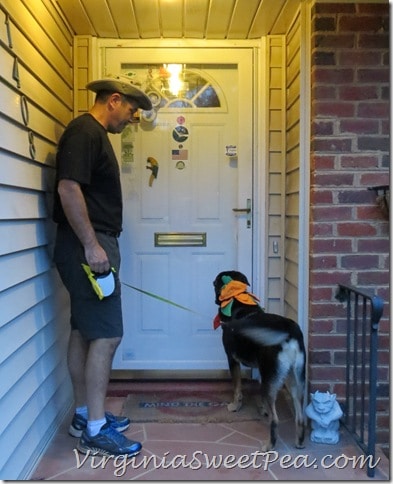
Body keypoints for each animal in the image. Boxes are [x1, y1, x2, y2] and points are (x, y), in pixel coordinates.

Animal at [213, 270, 304, 452]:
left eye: (214, 284)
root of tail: (289, 333)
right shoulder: (262, 369)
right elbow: (260, 395)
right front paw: (263, 409)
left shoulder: (232, 359)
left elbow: (237, 387)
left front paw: (235, 406)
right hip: (295, 379)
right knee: (300, 416)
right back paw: (298, 442)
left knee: (275, 420)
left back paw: (269, 445)